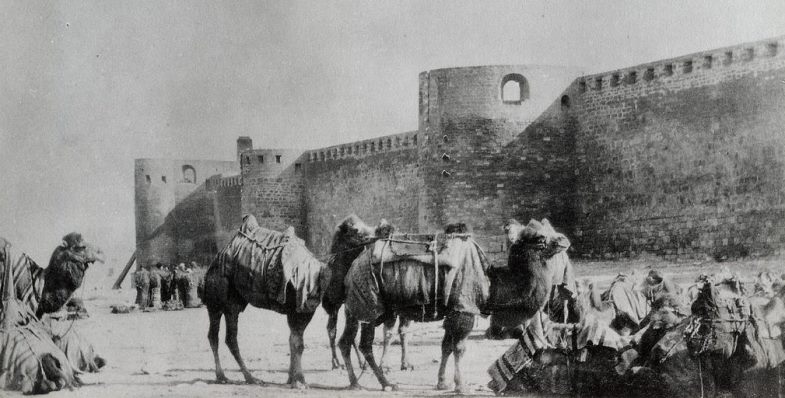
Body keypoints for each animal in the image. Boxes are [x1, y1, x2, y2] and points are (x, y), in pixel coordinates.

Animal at [202, 215, 330, 388]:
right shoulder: (299, 310)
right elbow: (297, 343)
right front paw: (300, 381)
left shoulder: (300, 311)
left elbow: (294, 341)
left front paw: (292, 379)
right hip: (216, 301)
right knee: (218, 336)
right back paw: (233, 377)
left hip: (232, 304)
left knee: (225, 337)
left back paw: (241, 377)